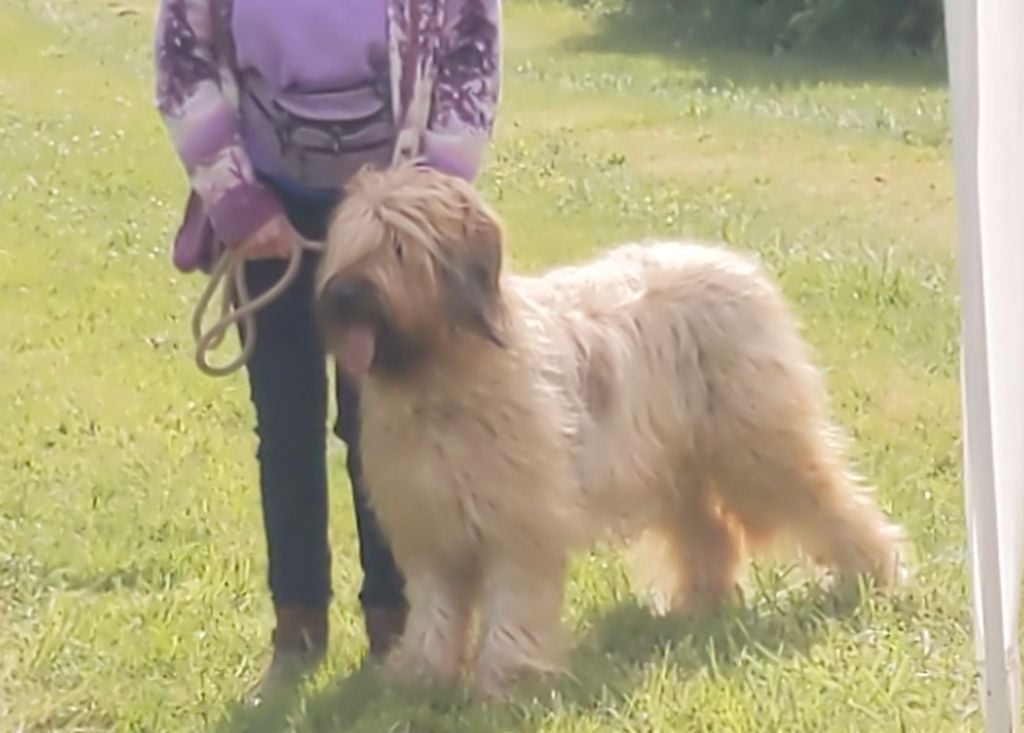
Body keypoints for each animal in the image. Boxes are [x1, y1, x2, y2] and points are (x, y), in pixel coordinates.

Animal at [315, 160, 909, 700]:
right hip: (678, 461)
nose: (342, 296)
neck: (445, 374)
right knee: (708, 530)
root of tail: (733, 263)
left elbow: (514, 597)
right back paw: (702, 602)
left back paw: (874, 574)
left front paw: (508, 680)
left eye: (397, 246)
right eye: (349, 242)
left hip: (759, 442)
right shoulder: (431, 520)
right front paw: (420, 675)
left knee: (826, 498)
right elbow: (436, 605)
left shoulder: (518, 520)